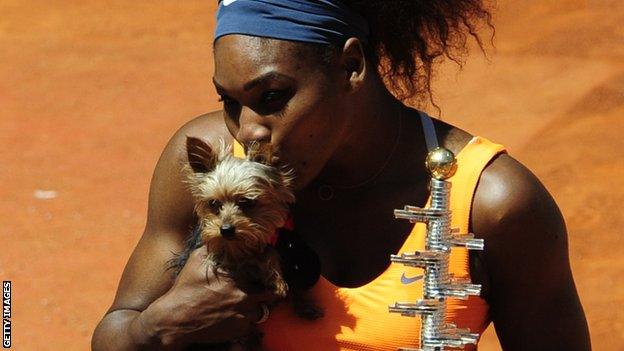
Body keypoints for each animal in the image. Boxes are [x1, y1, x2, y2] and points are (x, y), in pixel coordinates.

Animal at [171, 139, 322, 350]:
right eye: (213, 203)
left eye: (247, 202)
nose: (225, 230)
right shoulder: (224, 254)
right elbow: (252, 258)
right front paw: (274, 279)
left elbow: (274, 255)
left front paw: (298, 297)